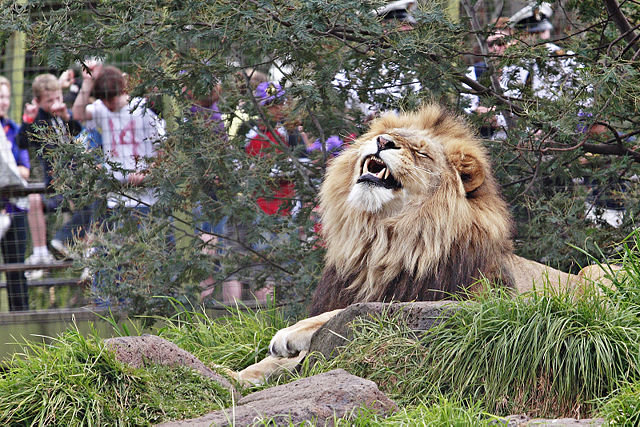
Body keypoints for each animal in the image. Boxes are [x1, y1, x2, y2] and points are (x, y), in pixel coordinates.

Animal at [234, 105, 616, 386]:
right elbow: (267, 365)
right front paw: (235, 376)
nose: (383, 141)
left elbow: (344, 314)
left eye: (419, 152)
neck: (382, 242)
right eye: (382, 136)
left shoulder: (470, 302)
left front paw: (289, 334)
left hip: (597, 272)